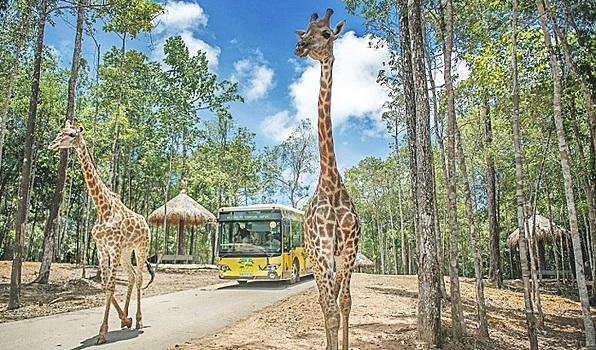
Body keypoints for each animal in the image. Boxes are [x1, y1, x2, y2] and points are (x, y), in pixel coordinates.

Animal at [48, 120, 155, 344]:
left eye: (71, 135)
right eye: (60, 131)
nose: (52, 144)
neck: (102, 208)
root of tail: (146, 223)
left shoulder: (113, 248)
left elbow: (111, 286)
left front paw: (103, 332)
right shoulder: (102, 248)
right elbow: (105, 286)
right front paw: (123, 319)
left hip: (141, 248)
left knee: (140, 279)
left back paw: (139, 320)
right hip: (126, 252)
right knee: (132, 277)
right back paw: (128, 319)